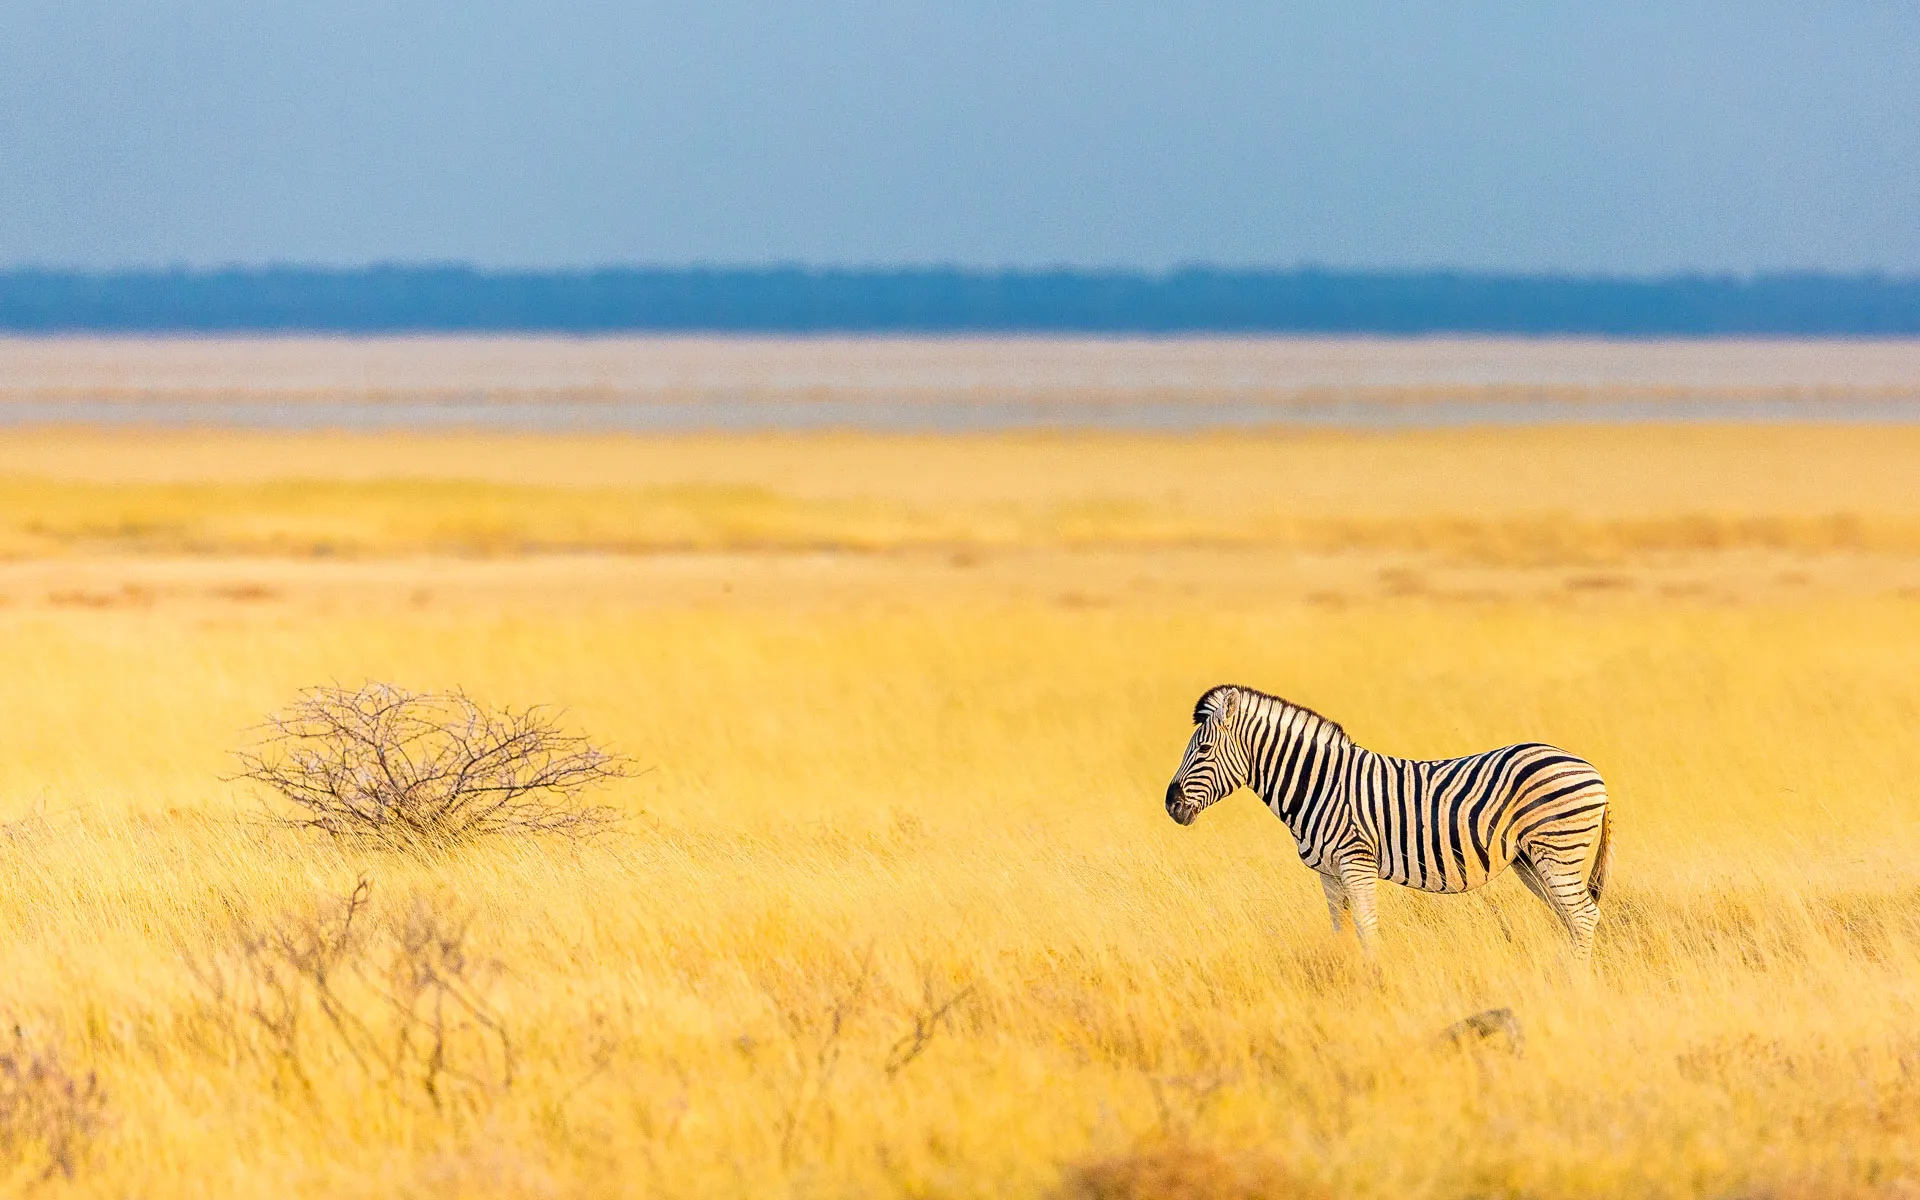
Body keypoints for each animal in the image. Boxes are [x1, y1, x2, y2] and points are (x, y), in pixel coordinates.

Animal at [1164, 684, 1613, 961]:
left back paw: (1575, 986)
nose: (1170, 805)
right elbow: (1341, 929)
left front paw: (1374, 981)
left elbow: (1366, 927)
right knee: (1571, 917)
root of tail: (1592, 769)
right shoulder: (1328, 872)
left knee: (1583, 916)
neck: (1320, 783)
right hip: (1530, 860)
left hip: (1558, 850)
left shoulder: (1355, 861)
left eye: (1203, 749)